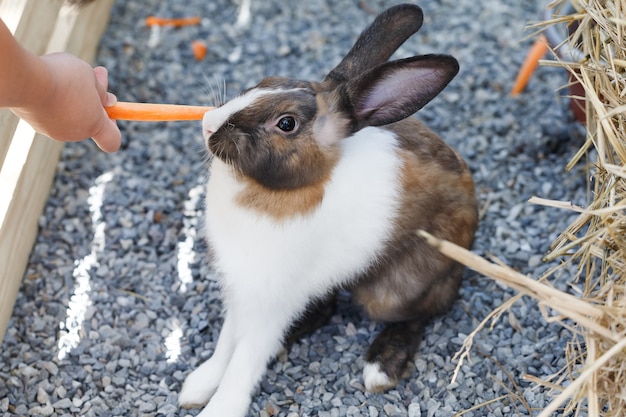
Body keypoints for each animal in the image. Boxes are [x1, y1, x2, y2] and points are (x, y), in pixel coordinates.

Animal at [179, 4, 478, 416]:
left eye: (286, 123)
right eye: (265, 81)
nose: (208, 124)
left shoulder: (270, 298)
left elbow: (244, 358)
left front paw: (221, 407)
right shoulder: (241, 289)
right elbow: (227, 341)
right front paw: (197, 386)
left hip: (396, 290)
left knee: (421, 315)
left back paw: (382, 365)